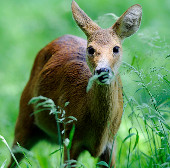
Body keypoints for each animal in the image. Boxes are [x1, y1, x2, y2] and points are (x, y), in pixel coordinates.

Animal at [7, 0, 141, 167]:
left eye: (116, 48)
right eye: (90, 49)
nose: (102, 70)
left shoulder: (112, 143)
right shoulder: (71, 138)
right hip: (24, 116)